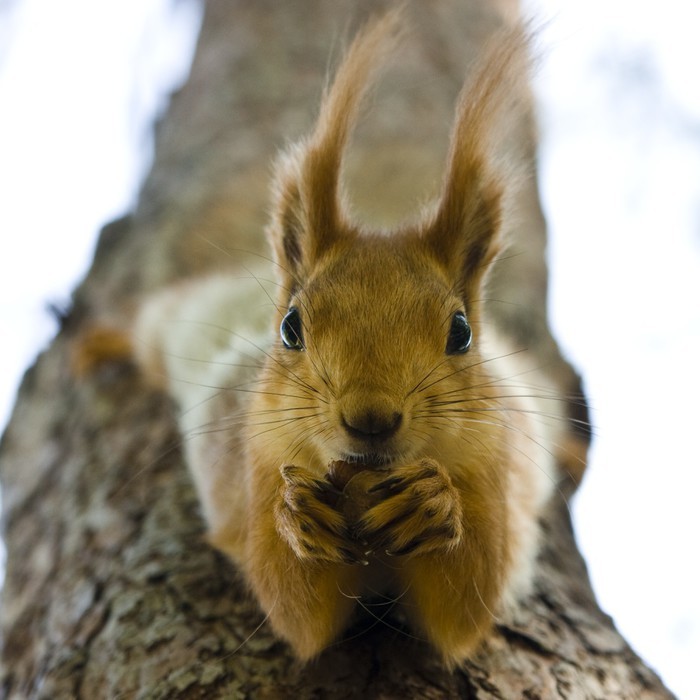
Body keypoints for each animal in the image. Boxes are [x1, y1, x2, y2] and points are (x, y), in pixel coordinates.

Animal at [127, 10, 587, 668]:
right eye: (291, 327)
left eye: (462, 332)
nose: (371, 419)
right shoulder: (256, 462)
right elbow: (297, 612)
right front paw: (296, 518)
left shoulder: (494, 465)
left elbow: (467, 604)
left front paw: (434, 502)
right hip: (174, 326)